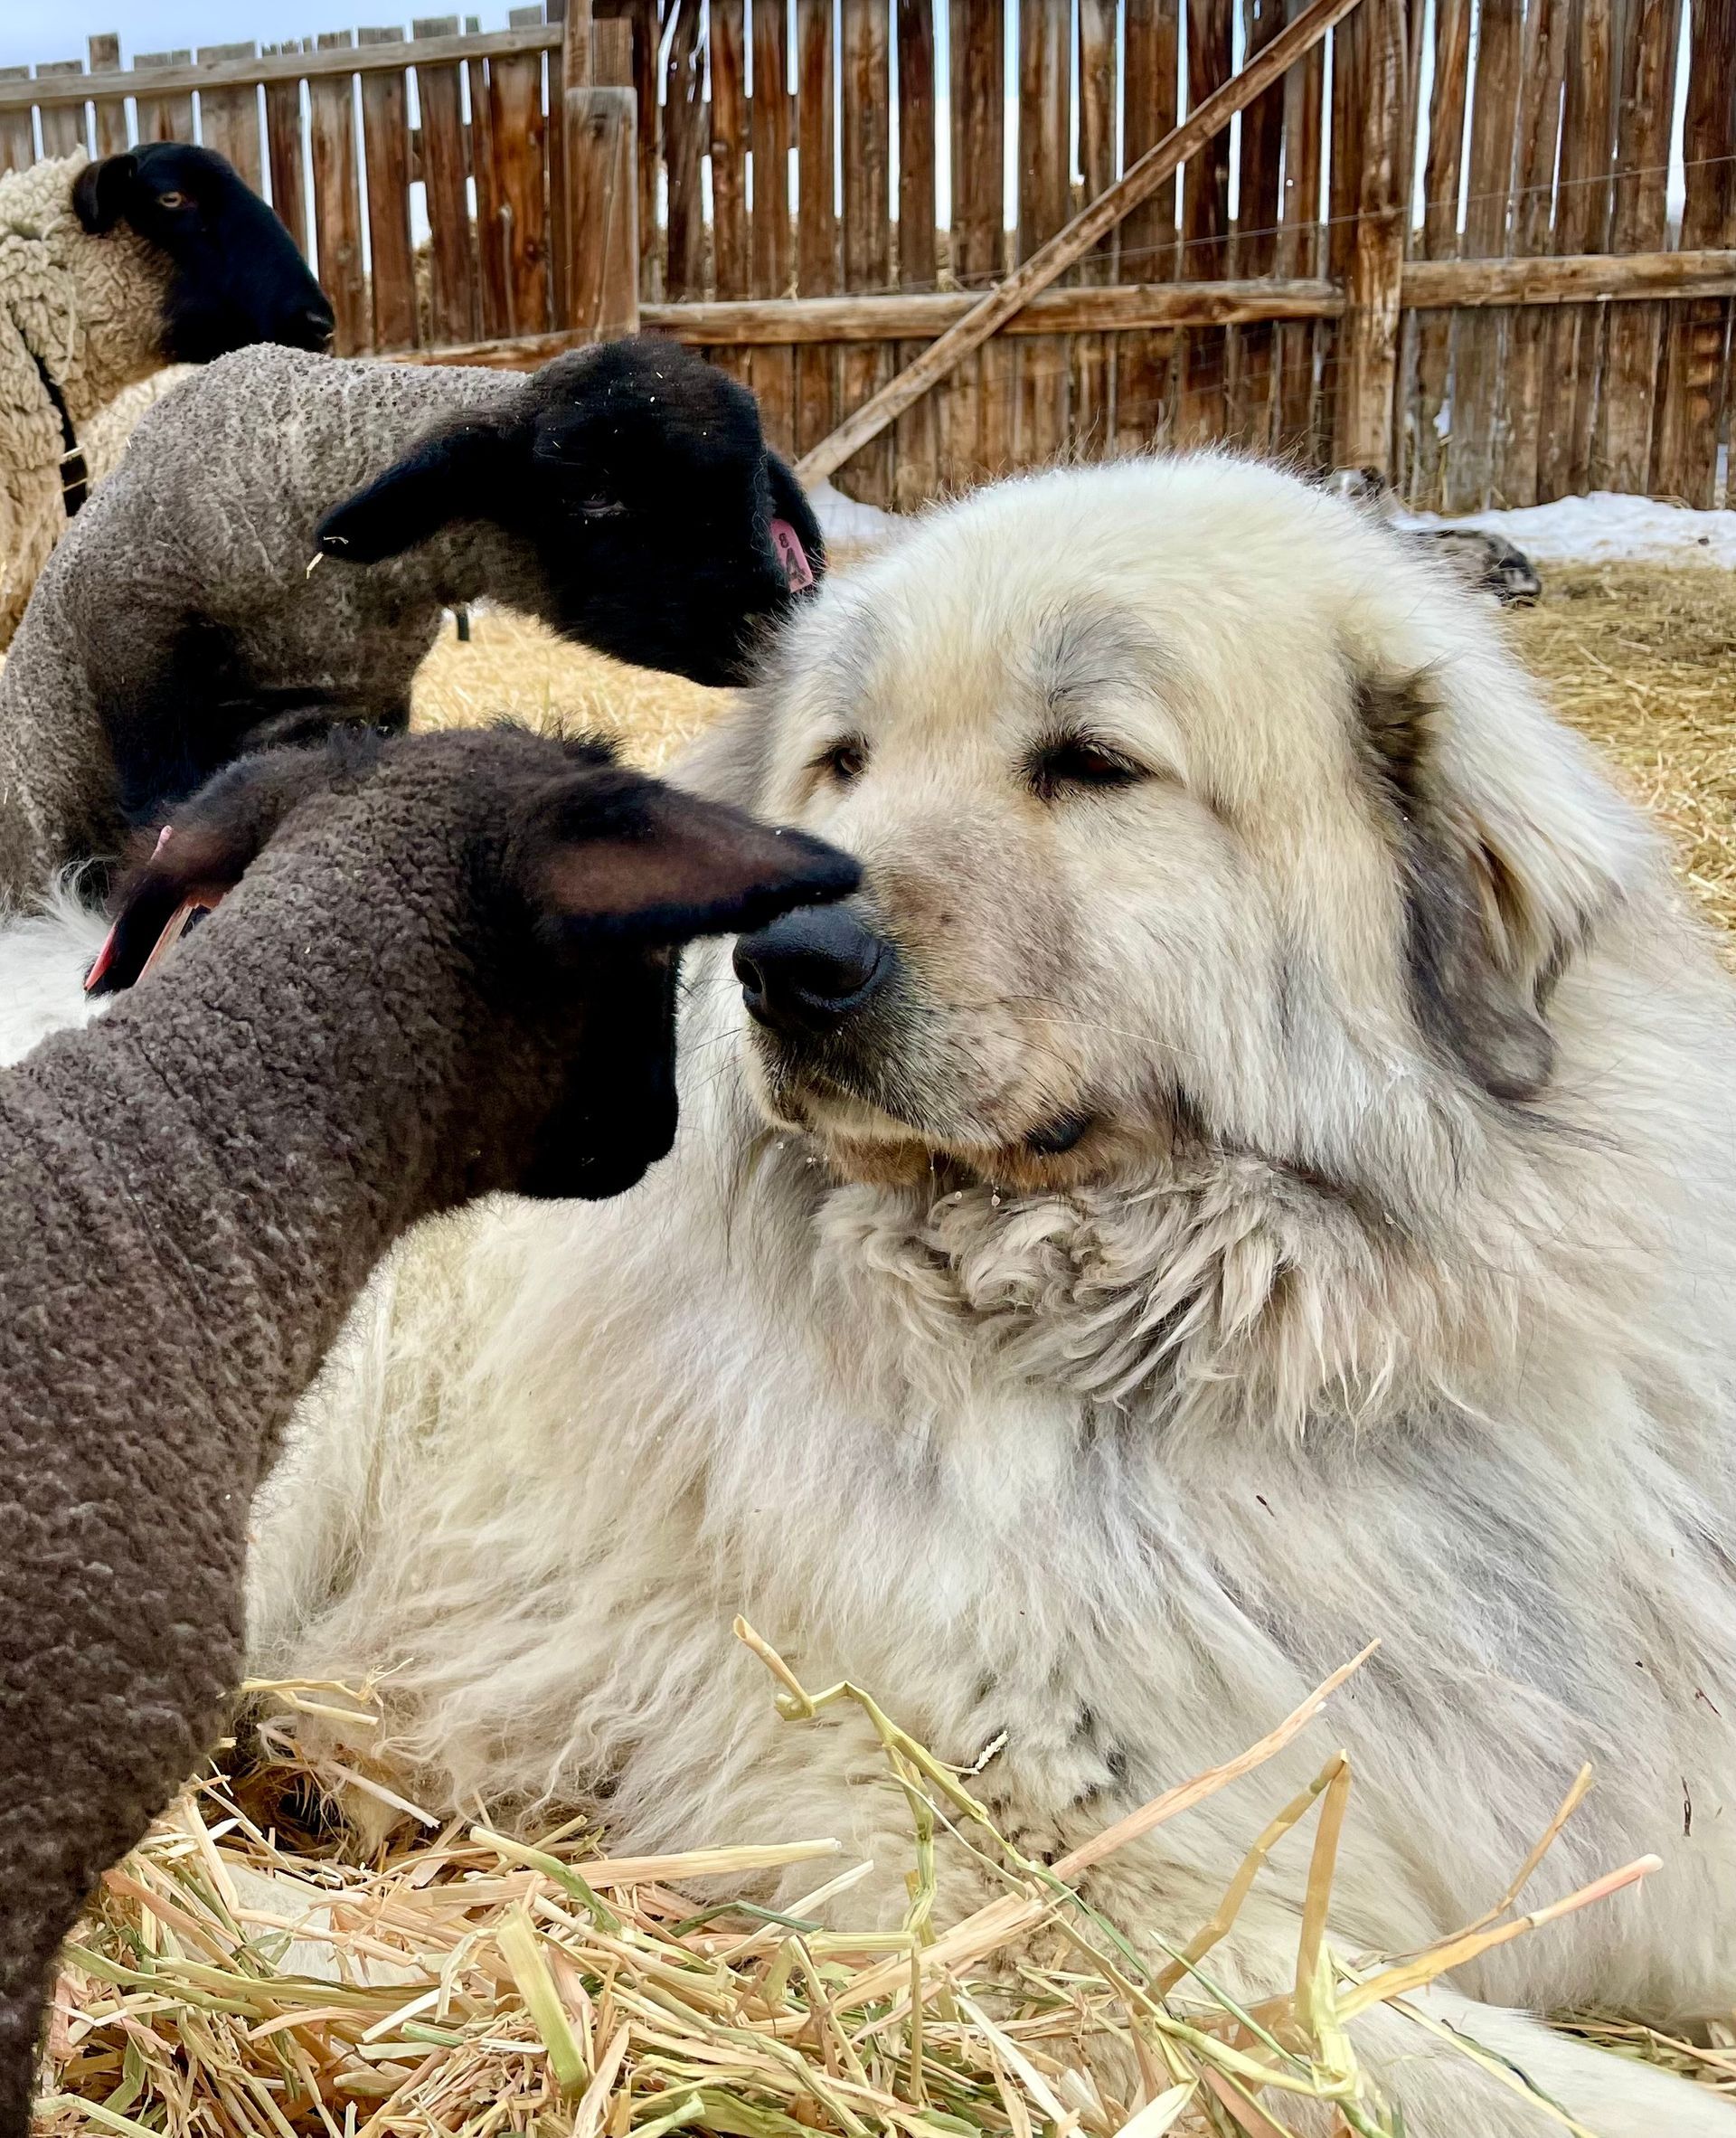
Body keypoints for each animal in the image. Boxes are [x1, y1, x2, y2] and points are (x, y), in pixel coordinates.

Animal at [0, 335, 825, 912]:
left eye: (754, 487)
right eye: (593, 493)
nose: (778, 614)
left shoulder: (362, 706)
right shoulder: (133, 632)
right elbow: (164, 806)